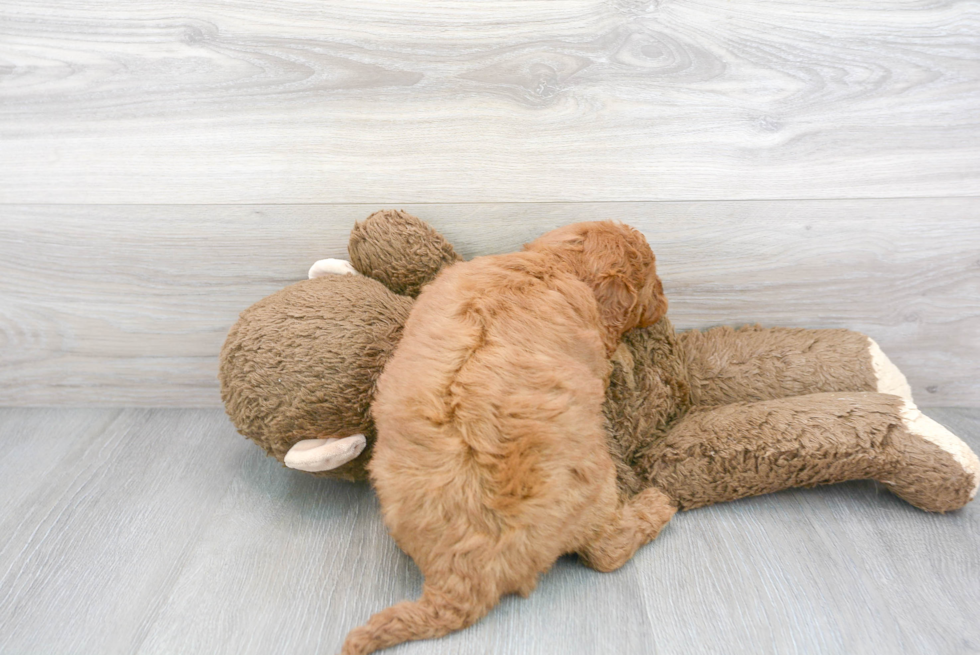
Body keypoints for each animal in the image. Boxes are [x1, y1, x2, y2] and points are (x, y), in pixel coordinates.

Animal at [342, 222, 672, 655]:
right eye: (651, 279)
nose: (666, 302)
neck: (551, 265)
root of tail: (460, 575)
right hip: (596, 491)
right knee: (605, 551)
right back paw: (658, 504)